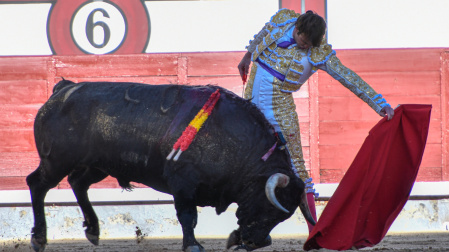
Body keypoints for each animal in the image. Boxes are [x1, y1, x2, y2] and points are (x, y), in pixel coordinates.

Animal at [26, 80, 316, 252]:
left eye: (282, 217)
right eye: (268, 207)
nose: (255, 242)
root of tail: (63, 90)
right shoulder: (183, 183)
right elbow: (187, 216)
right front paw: (193, 245)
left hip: (98, 165)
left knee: (78, 183)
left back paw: (93, 230)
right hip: (56, 160)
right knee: (37, 184)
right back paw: (39, 238)